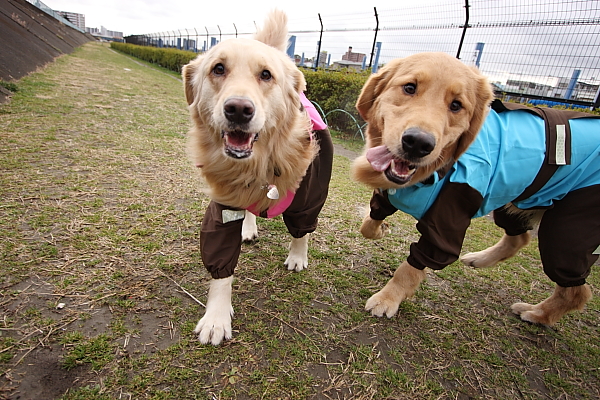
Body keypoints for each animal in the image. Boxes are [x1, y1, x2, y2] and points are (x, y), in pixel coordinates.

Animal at [352, 52, 596, 324]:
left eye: (456, 105)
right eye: (409, 88)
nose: (418, 143)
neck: (436, 169)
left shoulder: (447, 224)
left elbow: (411, 267)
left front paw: (388, 298)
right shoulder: (387, 194)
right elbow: (369, 223)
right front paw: (381, 229)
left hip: (565, 234)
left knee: (577, 290)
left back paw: (538, 313)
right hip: (516, 200)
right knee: (519, 238)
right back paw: (480, 259)